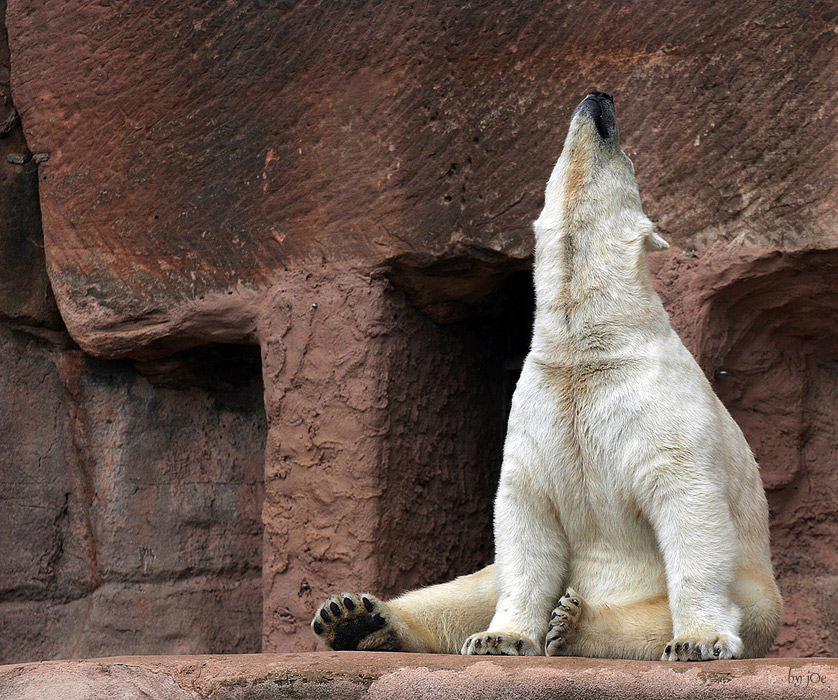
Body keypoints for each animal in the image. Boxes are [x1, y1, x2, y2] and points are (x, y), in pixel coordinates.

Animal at [312, 91, 784, 660]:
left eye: (627, 157)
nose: (599, 98)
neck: (585, 349)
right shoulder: (542, 407)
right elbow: (524, 520)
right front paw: (500, 636)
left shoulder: (659, 407)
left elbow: (690, 508)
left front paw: (700, 640)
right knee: (463, 591)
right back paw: (355, 618)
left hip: (757, 592)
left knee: (677, 613)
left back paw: (578, 623)